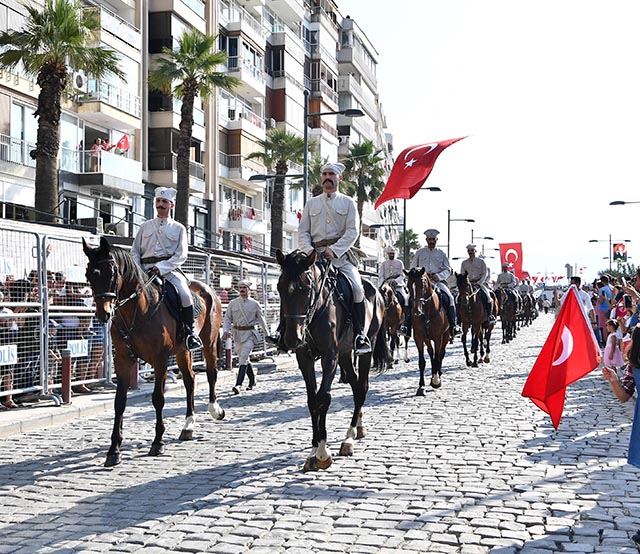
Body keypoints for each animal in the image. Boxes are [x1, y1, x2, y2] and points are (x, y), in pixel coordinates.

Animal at [82, 234, 225, 466]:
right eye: (89, 275)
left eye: (111, 272)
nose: (103, 314)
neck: (138, 310)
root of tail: (207, 288)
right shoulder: (124, 360)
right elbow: (119, 402)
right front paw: (114, 450)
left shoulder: (160, 360)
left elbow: (158, 398)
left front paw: (157, 442)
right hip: (182, 351)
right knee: (190, 380)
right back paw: (188, 426)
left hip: (209, 342)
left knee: (211, 373)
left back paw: (214, 409)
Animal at [272, 250, 388, 470]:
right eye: (279, 287)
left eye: (305, 289)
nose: (292, 338)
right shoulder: (305, 358)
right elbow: (312, 400)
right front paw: (313, 449)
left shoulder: (329, 355)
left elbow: (323, 398)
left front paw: (322, 452)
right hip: (344, 354)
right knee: (356, 387)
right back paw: (357, 429)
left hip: (364, 350)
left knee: (363, 387)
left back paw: (348, 438)